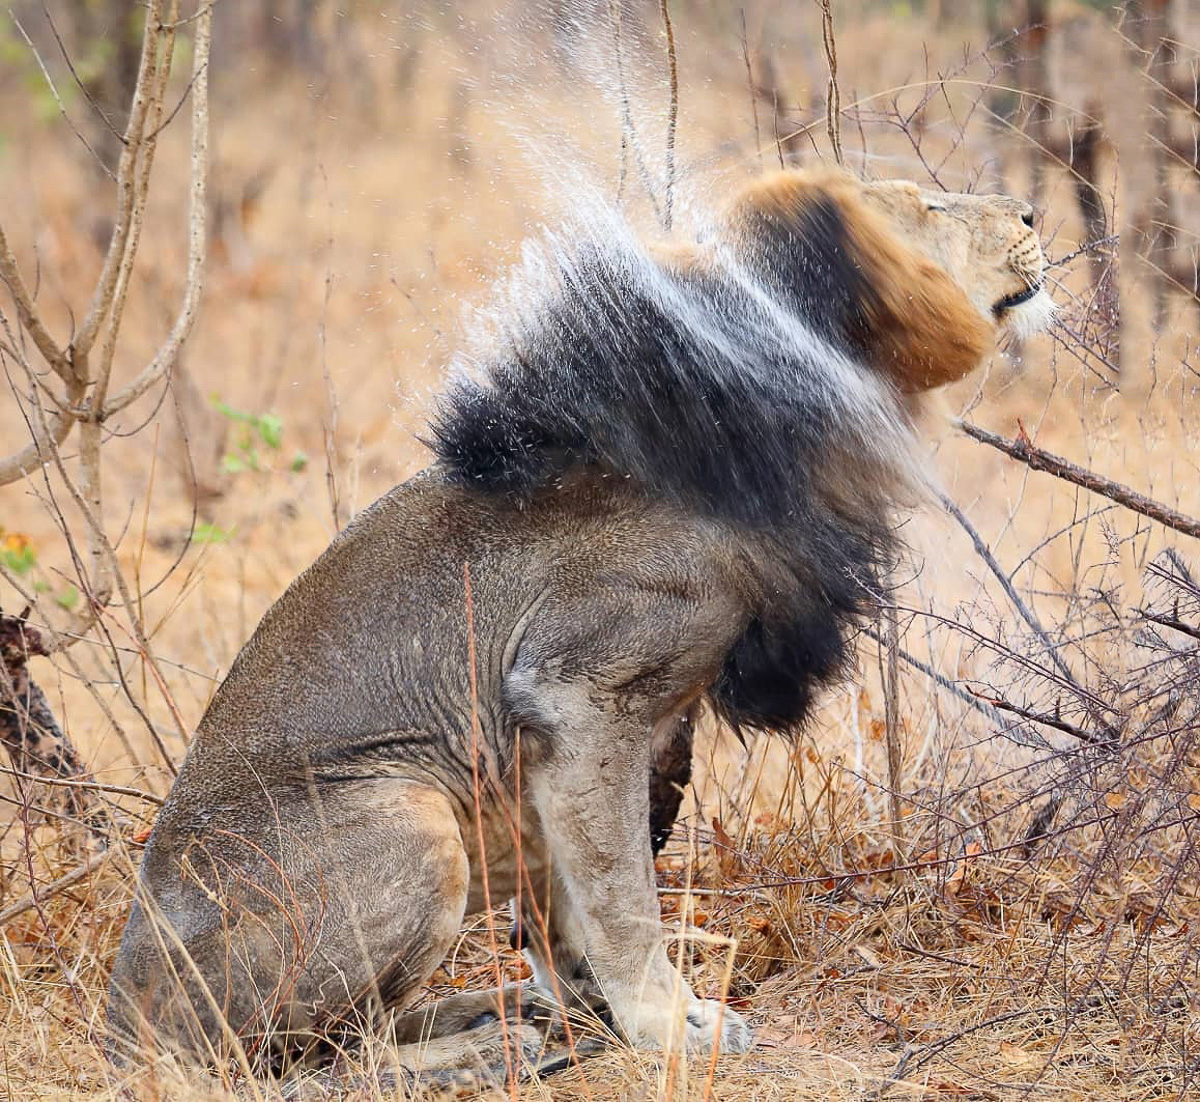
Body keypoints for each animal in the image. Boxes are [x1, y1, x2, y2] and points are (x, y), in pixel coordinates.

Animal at [106, 168, 1053, 1084]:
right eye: (929, 207)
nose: (1031, 212)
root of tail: (126, 1015)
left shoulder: (621, 730)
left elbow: (568, 901)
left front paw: (593, 1006)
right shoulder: (583, 693)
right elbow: (621, 893)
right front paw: (669, 1028)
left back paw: (501, 1014)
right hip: (410, 818)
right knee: (314, 1057)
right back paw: (485, 1053)